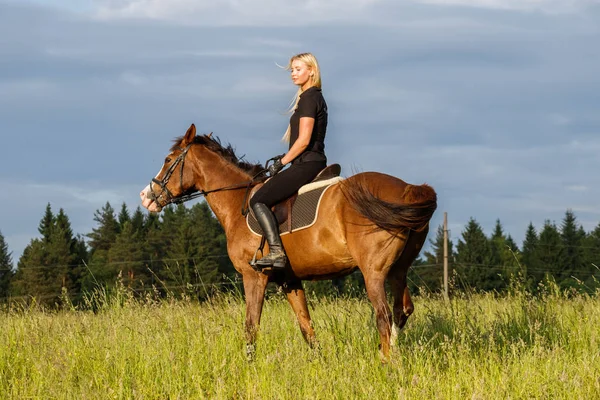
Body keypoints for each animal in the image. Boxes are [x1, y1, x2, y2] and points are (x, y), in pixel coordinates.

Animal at [139, 123, 436, 358]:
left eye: (168, 159)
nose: (146, 197)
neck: (237, 204)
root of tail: (408, 189)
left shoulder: (254, 276)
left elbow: (251, 326)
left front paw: (249, 368)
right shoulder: (289, 280)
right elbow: (306, 326)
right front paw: (319, 365)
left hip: (373, 271)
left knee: (383, 316)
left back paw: (385, 364)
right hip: (398, 269)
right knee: (402, 310)